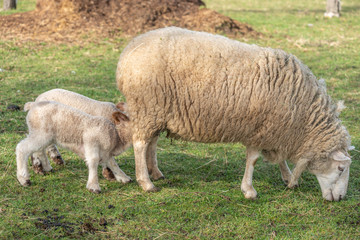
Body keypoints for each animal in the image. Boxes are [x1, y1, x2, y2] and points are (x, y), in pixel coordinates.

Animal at [116, 27, 354, 202]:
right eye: (341, 168)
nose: (341, 198)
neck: (304, 115)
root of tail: (127, 52)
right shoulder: (261, 128)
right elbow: (253, 160)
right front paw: (249, 190)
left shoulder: (277, 130)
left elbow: (279, 158)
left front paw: (288, 178)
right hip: (147, 105)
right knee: (140, 144)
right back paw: (146, 182)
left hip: (155, 111)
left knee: (151, 142)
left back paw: (155, 172)